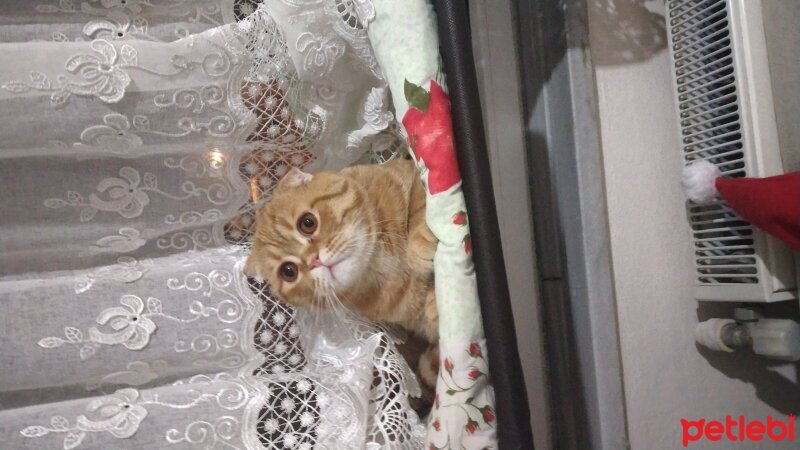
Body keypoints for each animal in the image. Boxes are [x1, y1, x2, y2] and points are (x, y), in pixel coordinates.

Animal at [247, 159, 440, 414]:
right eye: (288, 271)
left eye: (307, 223)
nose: (314, 261)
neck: (376, 263)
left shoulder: (408, 175)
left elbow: (420, 202)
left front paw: (420, 247)